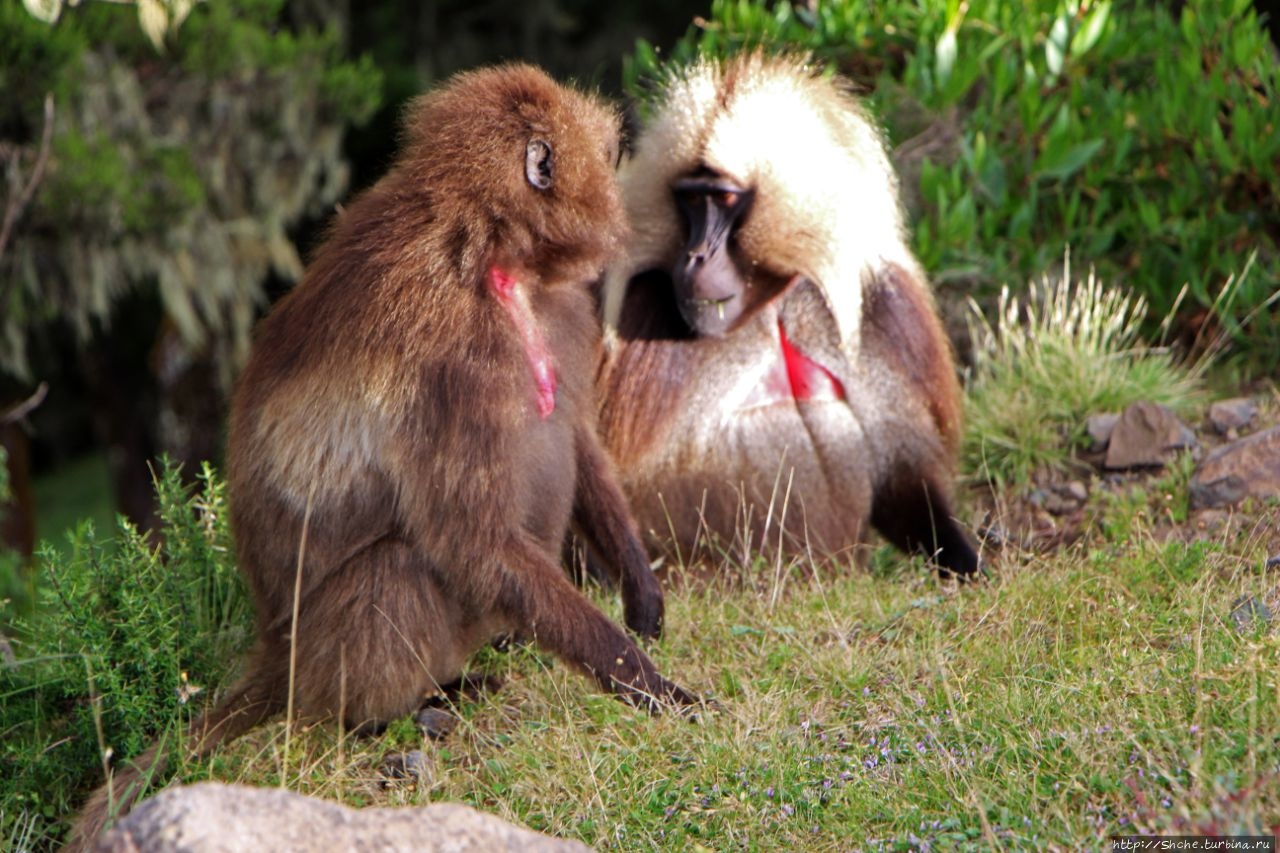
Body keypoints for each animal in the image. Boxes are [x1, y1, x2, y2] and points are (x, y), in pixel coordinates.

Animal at [67, 61, 691, 850]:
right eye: (607, 154)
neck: (490, 253)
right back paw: (397, 712)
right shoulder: (454, 361)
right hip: (326, 648)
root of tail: (276, 653)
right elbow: (471, 539)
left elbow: (576, 435)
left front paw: (643, 598)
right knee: (394, 571)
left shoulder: (559, 311)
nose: (621, 190)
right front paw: (650, 683)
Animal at [599, 51, 977, 578]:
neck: (771, 303)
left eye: (725, 198)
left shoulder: (884, 307)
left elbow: (903, 473)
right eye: (690, 199)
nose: (694, 256)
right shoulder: (642, 298)